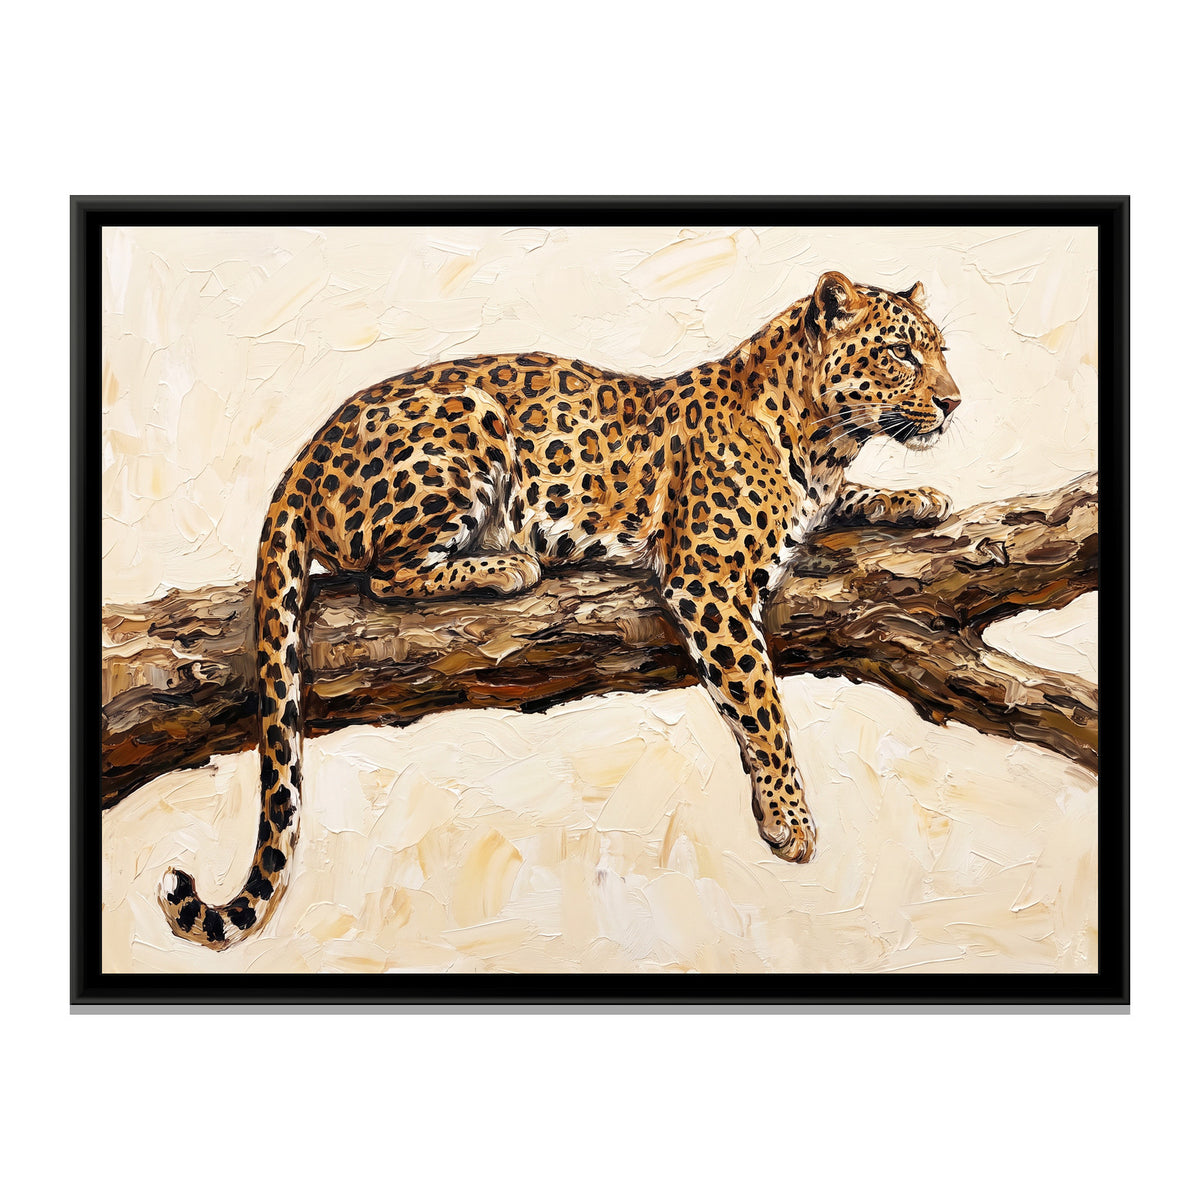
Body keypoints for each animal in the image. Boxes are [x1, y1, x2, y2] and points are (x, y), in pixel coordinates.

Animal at [158, 270, 962, 947]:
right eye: (901, 353)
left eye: (941, 353)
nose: (954, 403)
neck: (824, 442)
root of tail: (305, 455)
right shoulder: (708, 578)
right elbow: (761, 706)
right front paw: (790, 818)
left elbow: (842, 512)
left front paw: (914, 498)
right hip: (468, 425)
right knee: (384, 576)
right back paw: (509, 563)